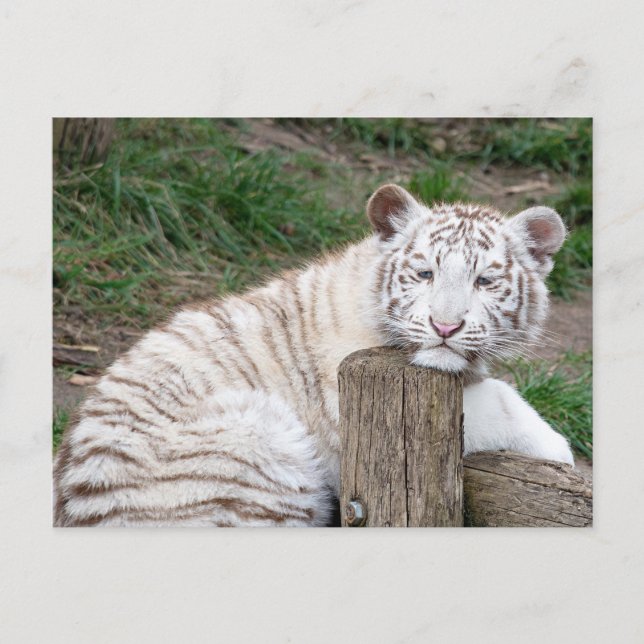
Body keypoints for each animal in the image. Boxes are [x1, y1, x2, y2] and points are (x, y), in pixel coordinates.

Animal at [53, 183, 574, 527]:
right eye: (424, 273)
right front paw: (560, 454)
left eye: (485, 281)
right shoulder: (342, 404)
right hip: (256, 447)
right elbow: (501, 401)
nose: (445, 327)